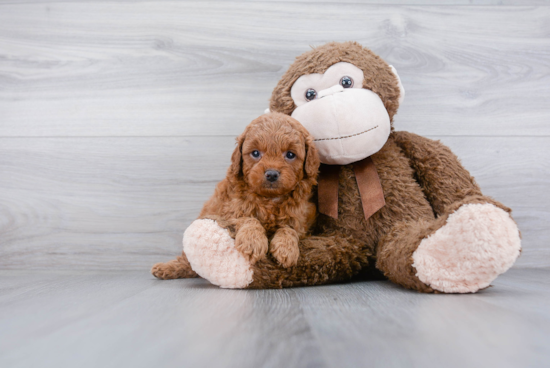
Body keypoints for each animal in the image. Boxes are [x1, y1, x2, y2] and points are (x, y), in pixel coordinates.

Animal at [199, 112, 322, 268]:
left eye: (290, 154)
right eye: (256, 153)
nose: (271, 174)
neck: (269, 199)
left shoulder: (300, 219)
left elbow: (290, 228)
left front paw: (286, 248)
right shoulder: (228, 213)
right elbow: (248, 219)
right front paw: (252, 241)